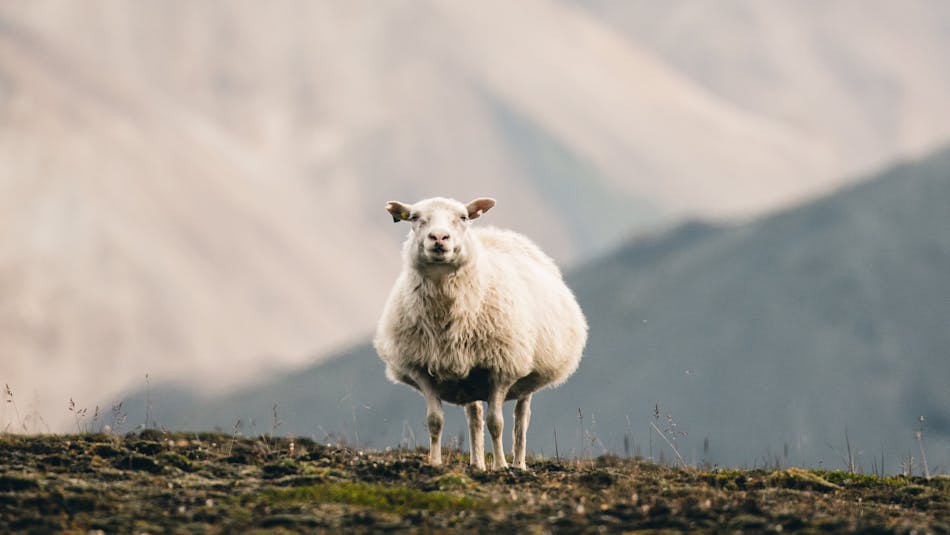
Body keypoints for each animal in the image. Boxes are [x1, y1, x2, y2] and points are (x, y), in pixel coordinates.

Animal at [374, 197, 588, 468]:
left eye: (463, 217)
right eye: (414, 218)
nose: (439, 237)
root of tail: (497, 233)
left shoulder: (502, 369)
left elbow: (496, 423)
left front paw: (501, 465)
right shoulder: (422, 370)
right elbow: (435, 421)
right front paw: (435, 463)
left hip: (525, 376)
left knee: (521, 418)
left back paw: (518, 463)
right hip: (471, 378)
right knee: (474, 417)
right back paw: (477, 464)